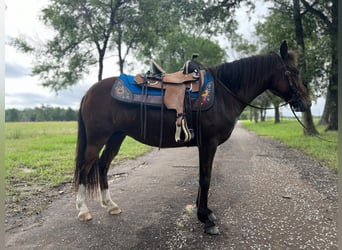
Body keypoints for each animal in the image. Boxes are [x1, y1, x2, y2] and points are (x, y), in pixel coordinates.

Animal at [73, 41, 312, 234]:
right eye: (294, 71)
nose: (306, 103)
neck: (223, 93)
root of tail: (89, 92)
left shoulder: (203, 145)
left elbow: (202, 177)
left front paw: (203, 211)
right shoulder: (209, 143)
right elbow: (205, 178)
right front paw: (206, 218)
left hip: (116, 137)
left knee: (103, 165)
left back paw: (111, 205)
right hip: (97, 139)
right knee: (85, 169)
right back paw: (83, 210)